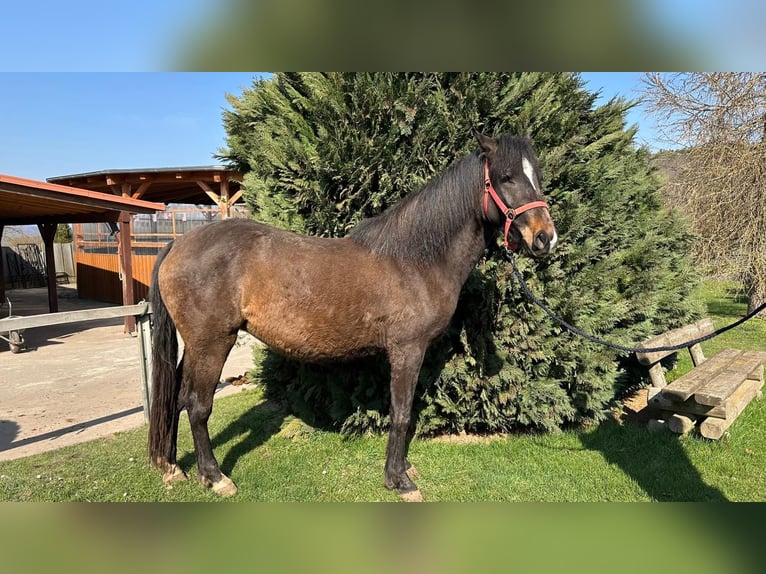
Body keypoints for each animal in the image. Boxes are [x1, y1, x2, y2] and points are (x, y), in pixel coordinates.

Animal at [148, 128, 557, 500]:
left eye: (536, 175)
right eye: (506, 177)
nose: (545, 237)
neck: (415, 260)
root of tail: (178, 244)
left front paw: (404, 468)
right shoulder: (407, 351)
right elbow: (402, 413)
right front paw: (399, 480)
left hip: (196, 347)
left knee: (177, 398)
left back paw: (172, 467)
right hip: (214, 342)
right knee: (198, 405)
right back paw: (215, 477)